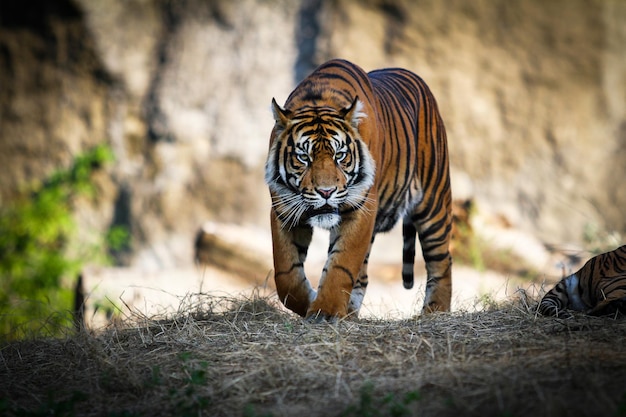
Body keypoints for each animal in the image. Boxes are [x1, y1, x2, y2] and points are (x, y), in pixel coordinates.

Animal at [262, 58, 448, 320]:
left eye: (339, 156)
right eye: (304, 157)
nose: (326, 192)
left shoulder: (361, 208)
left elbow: (342, 263)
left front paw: (326, 311)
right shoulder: (283, 210)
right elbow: (286, 274)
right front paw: (311, 301)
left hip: (433, 201)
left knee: (442, 261)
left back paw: (436, 311)